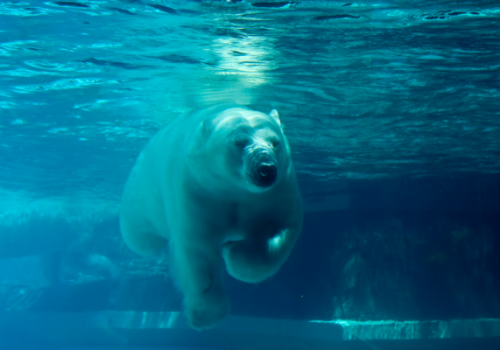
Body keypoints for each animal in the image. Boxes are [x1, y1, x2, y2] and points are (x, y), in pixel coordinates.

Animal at [119, 105, 302, 330]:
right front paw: (204, 315)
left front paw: (233, 253)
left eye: (275, 142)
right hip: (141, 194)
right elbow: (198, 253)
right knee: (142, 240)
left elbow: (282, 228)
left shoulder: (278, 192)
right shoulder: (196, 189)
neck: (233, 190)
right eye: (239, 142)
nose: (266, 169)